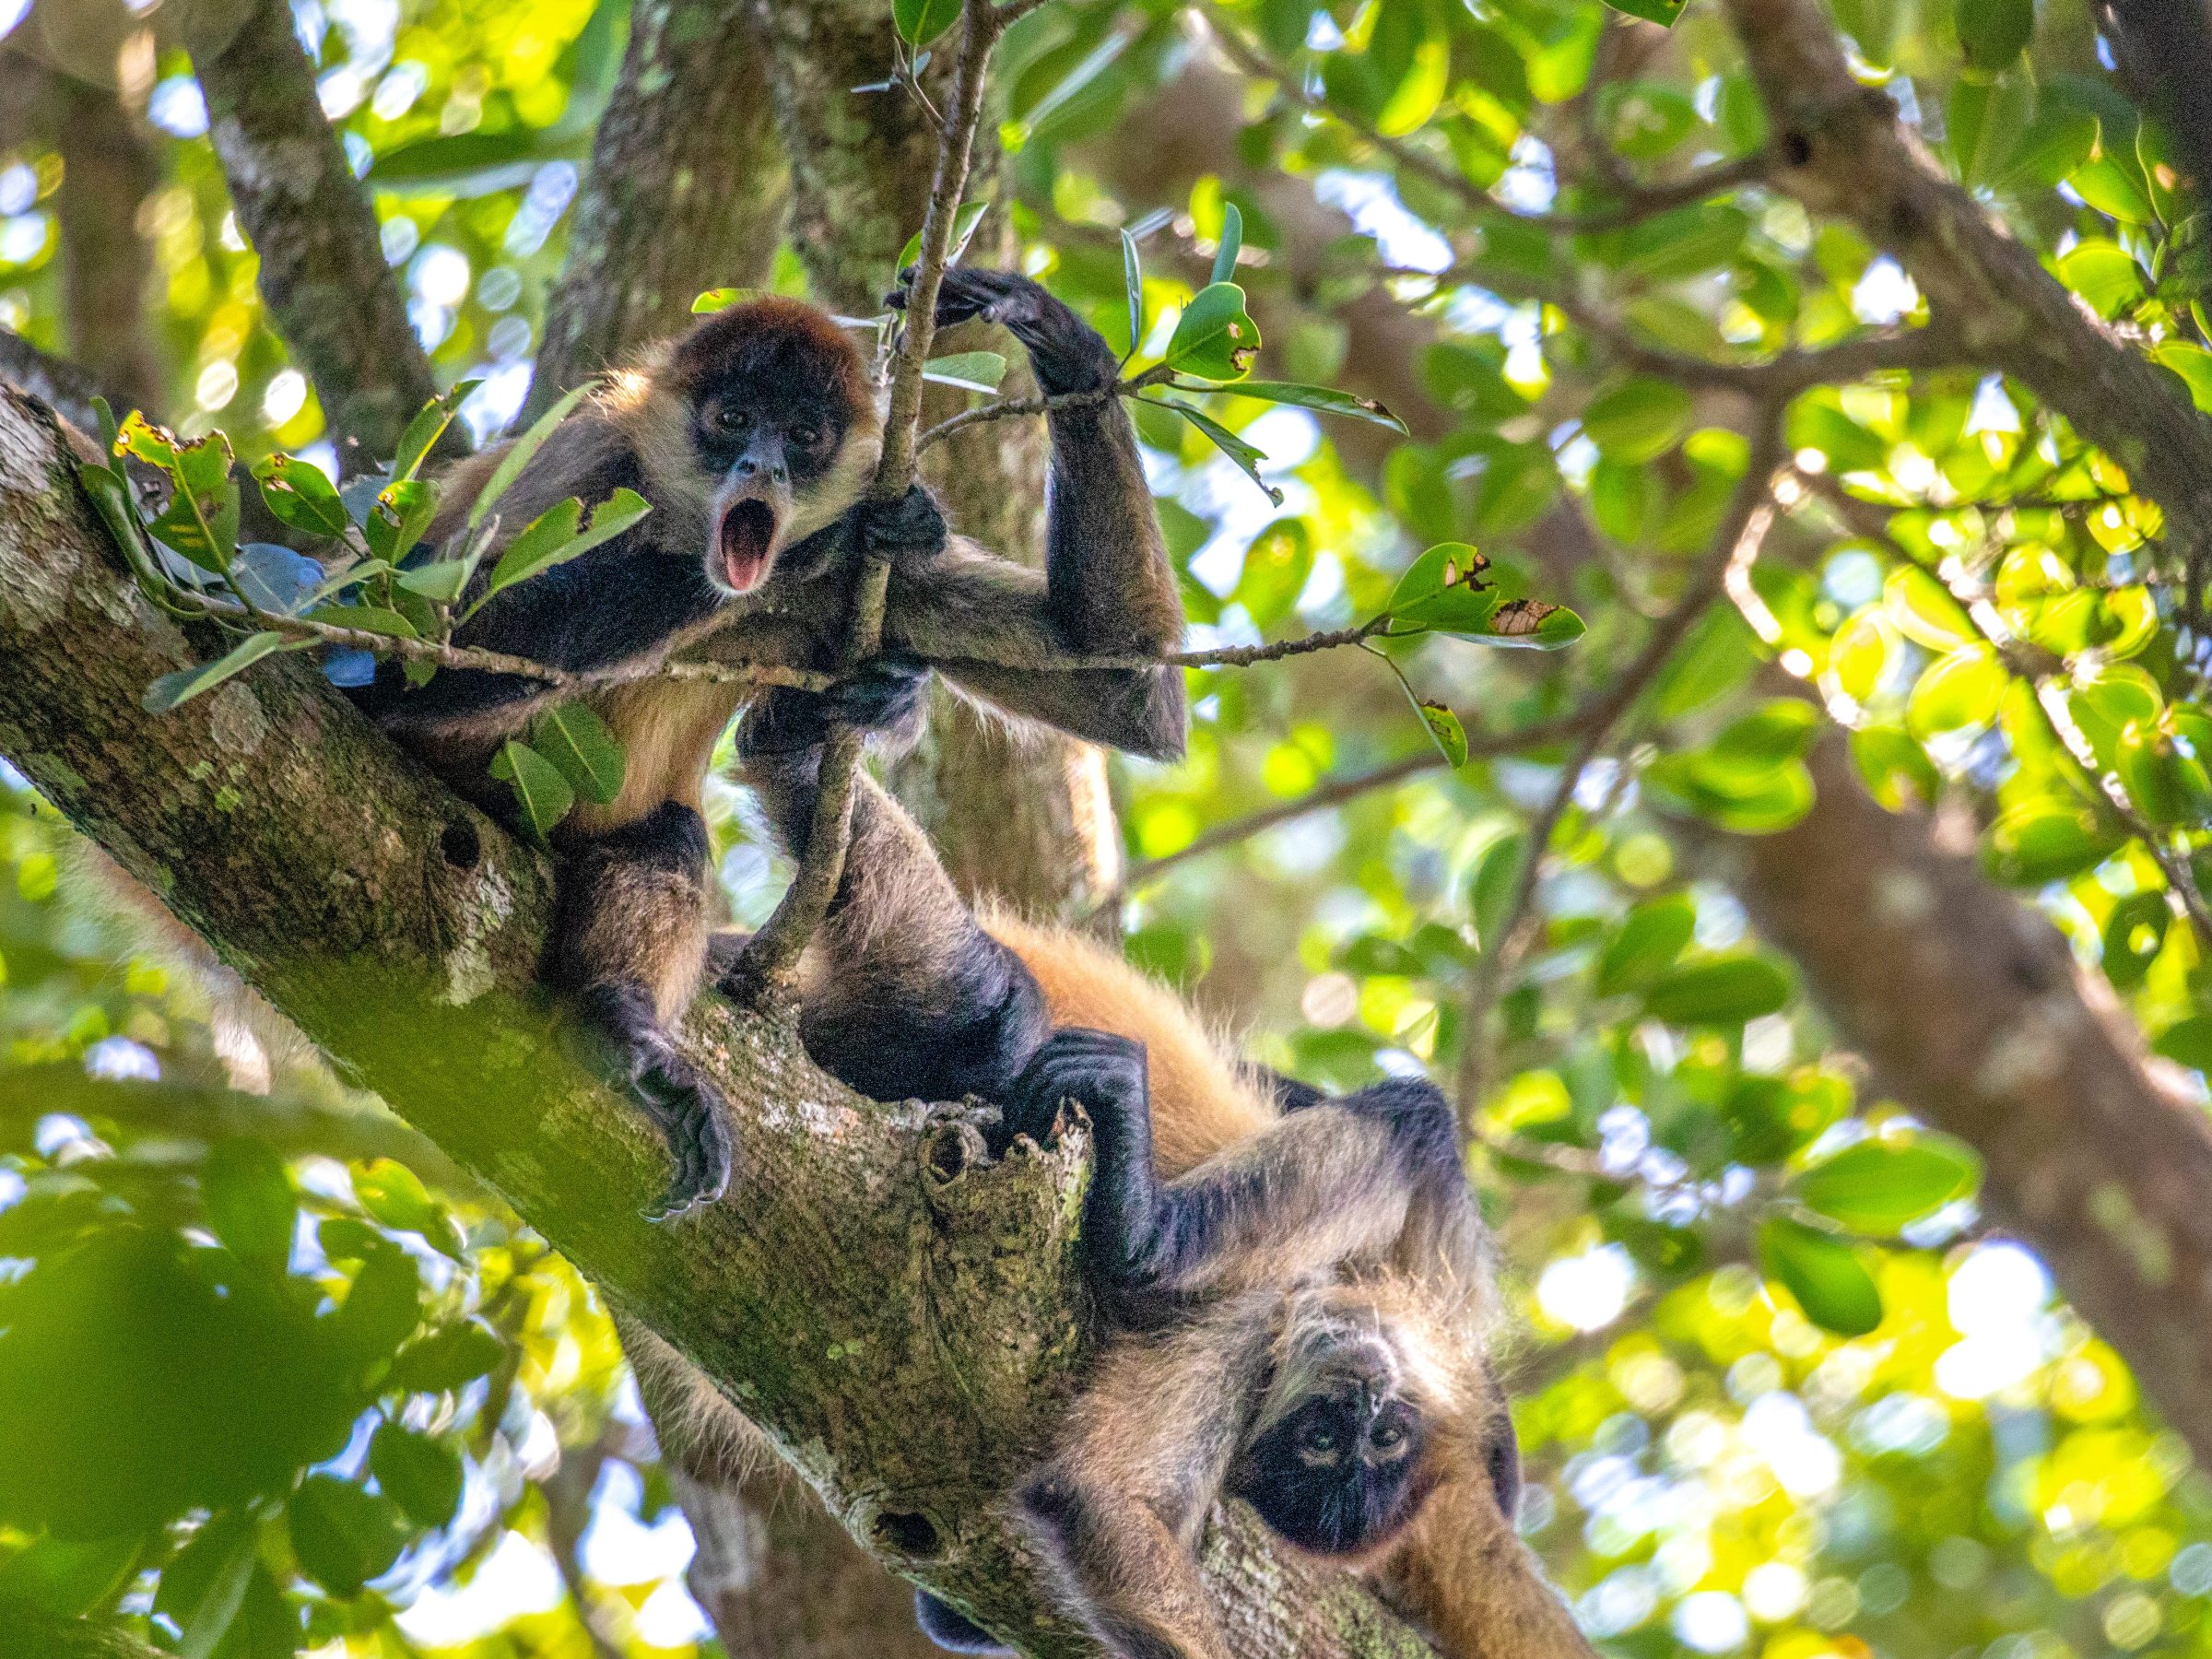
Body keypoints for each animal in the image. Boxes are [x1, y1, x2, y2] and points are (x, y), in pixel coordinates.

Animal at [336, 268, 1188, 1218]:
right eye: (735, 419)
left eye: (804, 436)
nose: (763, 469)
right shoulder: (588, 450)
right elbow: (408, 654)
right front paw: (824, 542)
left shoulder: (878, 575)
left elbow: (1122, 684)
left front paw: (1050, 330)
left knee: (666, 836)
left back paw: (616, 1022)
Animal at [718, 679, 1596, 1659]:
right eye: (1337, 1437)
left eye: (1362, 1442)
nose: (1368, 1400)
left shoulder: (1248, 1332)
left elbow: (1092, 1503)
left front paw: (1142, 1239)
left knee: (979, 1006)